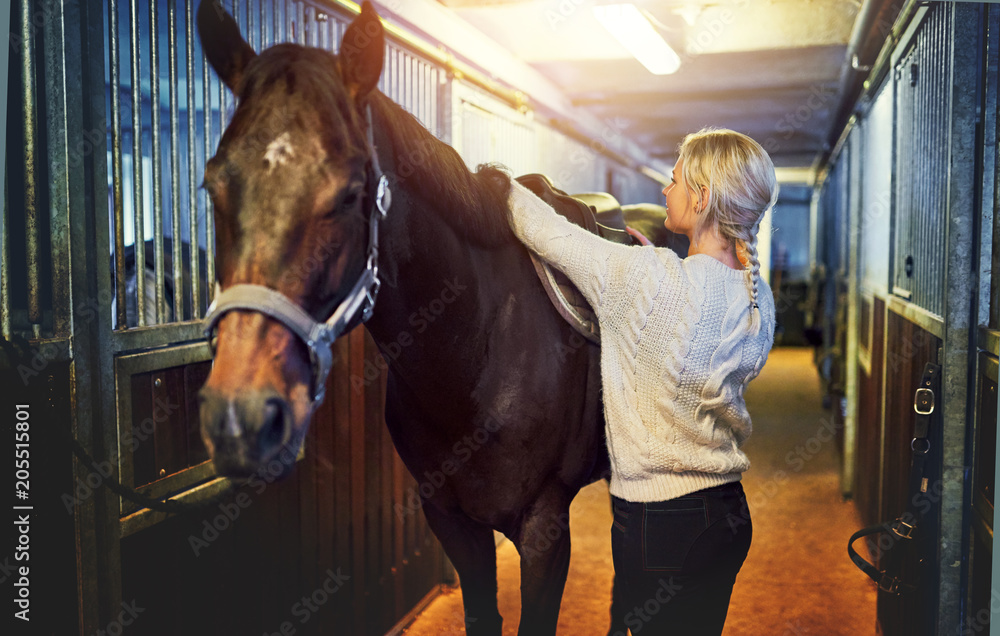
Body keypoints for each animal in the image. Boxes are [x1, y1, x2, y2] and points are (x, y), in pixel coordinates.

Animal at [193, 2, 616, 632]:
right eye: (212, 186)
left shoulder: (546, 529)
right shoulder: (451, 520)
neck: (478, 349)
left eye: (349, 194)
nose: (238, 414)